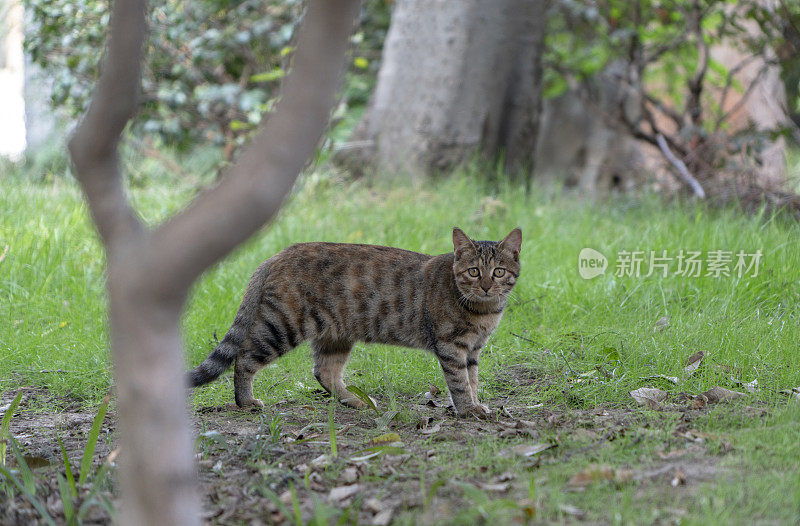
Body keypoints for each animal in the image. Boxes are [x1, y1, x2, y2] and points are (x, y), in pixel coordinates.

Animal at [190, 229, 520, 418]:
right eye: (474, 271)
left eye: (499, 272)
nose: (487, 286)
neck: (484, 311)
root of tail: (277, 254)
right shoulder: (451, 346)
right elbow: (460, 383)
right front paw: (468, 410)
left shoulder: (473, 350)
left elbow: (473, 380)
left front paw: (476, 403)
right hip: (282, 326)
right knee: (244, 358)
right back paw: (245, 401)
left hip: (335, 334)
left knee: (324, 372)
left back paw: (355, 401)